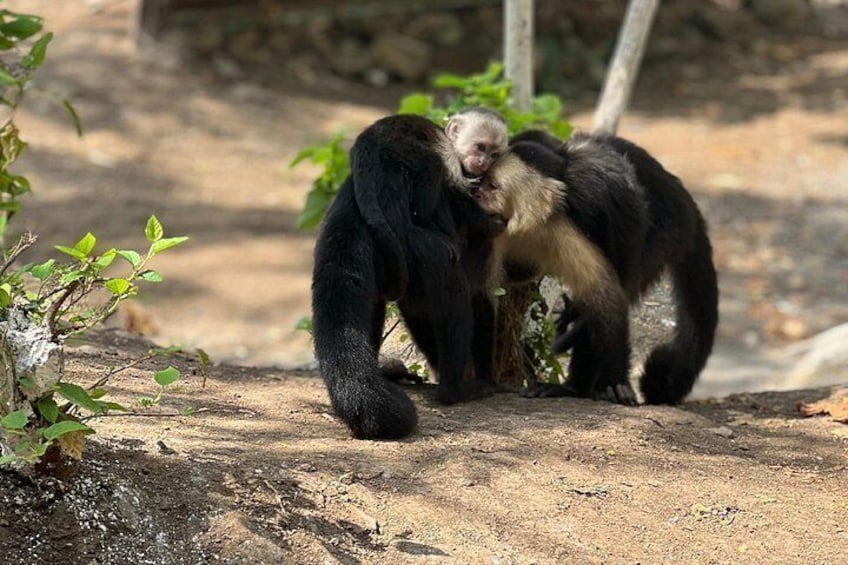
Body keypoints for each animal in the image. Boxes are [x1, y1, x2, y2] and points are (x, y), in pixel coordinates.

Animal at [311, 110, 508, 440]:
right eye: (480, 147)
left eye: (494, 154)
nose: (482, 163)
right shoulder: (451, 165)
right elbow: (462, 204)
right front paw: (491, 221)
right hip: (420, 242)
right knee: (454, 295)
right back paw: (455, 391)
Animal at [473, 131, 719, 406]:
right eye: (482, 180)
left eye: (493, 186)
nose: (476, 194)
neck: (536, 222)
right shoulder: (496, 229)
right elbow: (498, 282)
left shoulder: (565, 227)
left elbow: (606, 297)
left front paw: (615, 382)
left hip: (665, 234)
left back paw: (576, 387)